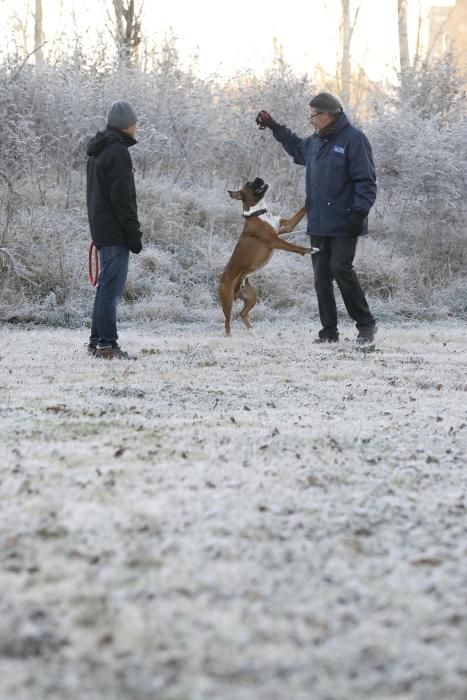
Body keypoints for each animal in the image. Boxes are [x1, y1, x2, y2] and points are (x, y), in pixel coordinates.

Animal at [219, 178, 318, 336]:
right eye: (249, 184)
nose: (258, 178)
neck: (258, 213)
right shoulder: (276, 241)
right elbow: (296, 247)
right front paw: (311, 250)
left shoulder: (287, 226)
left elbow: (301, 211)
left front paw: (309, 199)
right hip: (227, 301)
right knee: (227, 322)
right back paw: (229, 336)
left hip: (251, 297)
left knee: (242, 314)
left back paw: (252, 331)